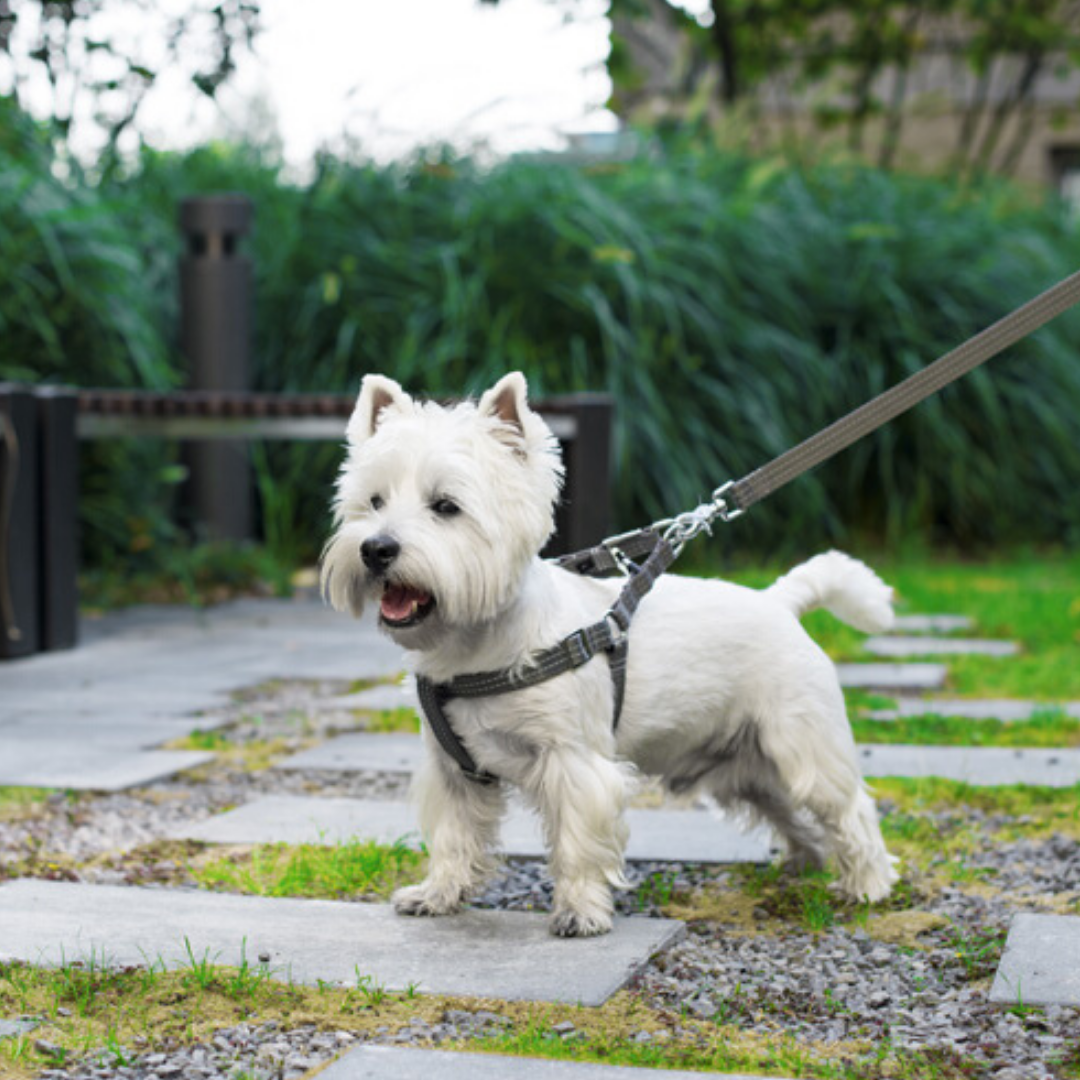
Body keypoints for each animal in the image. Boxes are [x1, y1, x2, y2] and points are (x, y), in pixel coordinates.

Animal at [319, 371, 894, 937]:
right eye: (374, 501)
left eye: (445, 506)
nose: (376, 549)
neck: (474, 650)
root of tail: (779, 601)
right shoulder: (453, 770)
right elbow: (452, 835)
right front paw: (437, 895)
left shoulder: (574, 762)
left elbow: (577, 842)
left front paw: (580, 913)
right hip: (745, 771)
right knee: (789, 811)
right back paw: (803, 861)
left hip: (802, 743)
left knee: (848, 807)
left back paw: (867, 885)